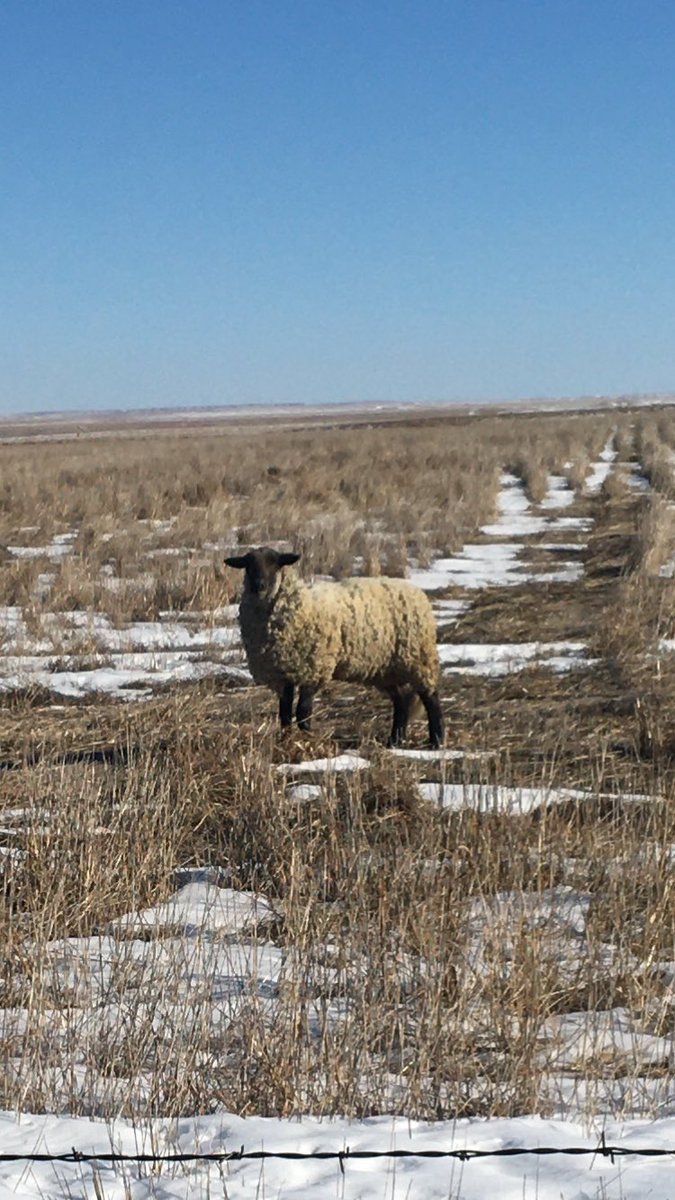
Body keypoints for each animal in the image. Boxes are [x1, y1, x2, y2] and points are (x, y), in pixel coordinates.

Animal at [225, 546, 444, 747]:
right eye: (248, 565)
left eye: (275, 563)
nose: (258, 585)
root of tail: (416, 591)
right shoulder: (284, 672)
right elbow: (285, 712)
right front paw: (286, 739)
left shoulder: (314, 668)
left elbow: (303, 710)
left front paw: (306, 739)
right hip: (387, 668)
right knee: (402, 700)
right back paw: (395, 740)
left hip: (419, 658)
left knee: (430, 698)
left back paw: (437, 741)